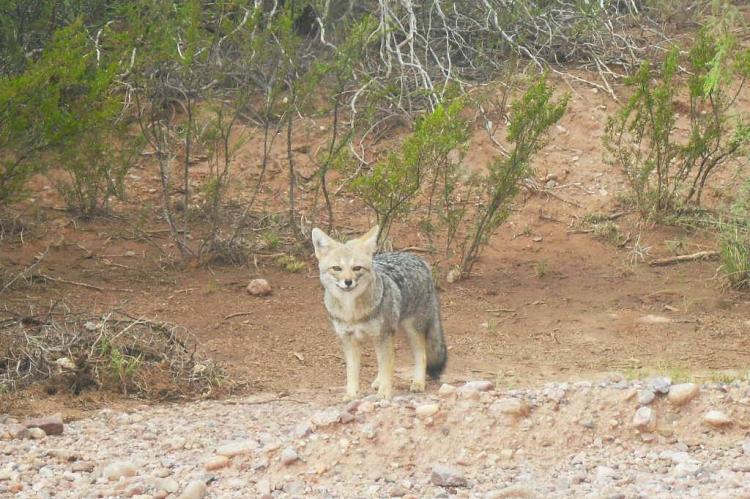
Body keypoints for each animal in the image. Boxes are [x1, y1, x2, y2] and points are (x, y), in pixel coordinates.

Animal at [311, 225, 447, 400]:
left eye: (356, 268)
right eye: (337, 268)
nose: (348, 282)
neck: (351, 313)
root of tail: (418, 258)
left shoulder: (383, 335)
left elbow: (386, 367)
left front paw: (384, 393)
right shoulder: (349, 340)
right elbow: (352, 372)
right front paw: (351, 394)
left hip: (410, 330)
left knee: (420, 356)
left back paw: (418, 383)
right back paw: (378, 381)